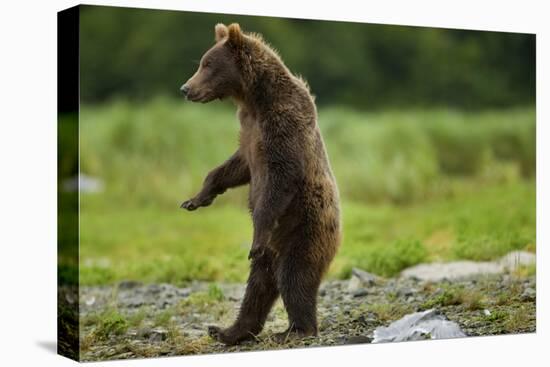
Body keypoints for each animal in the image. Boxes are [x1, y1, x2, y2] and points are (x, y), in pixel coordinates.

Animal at [181, 23, 342, 344]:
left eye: (207, 64)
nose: (186, 89)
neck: (253, 98)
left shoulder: (283, 125)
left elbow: (280, 179)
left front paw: (256, 229)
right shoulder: (248, 131)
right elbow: (234, 167)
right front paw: (196, 199)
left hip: (305, 229)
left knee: (294, 276)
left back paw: (295, 330)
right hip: (273, 252)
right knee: (258, 285)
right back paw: (228, 330)